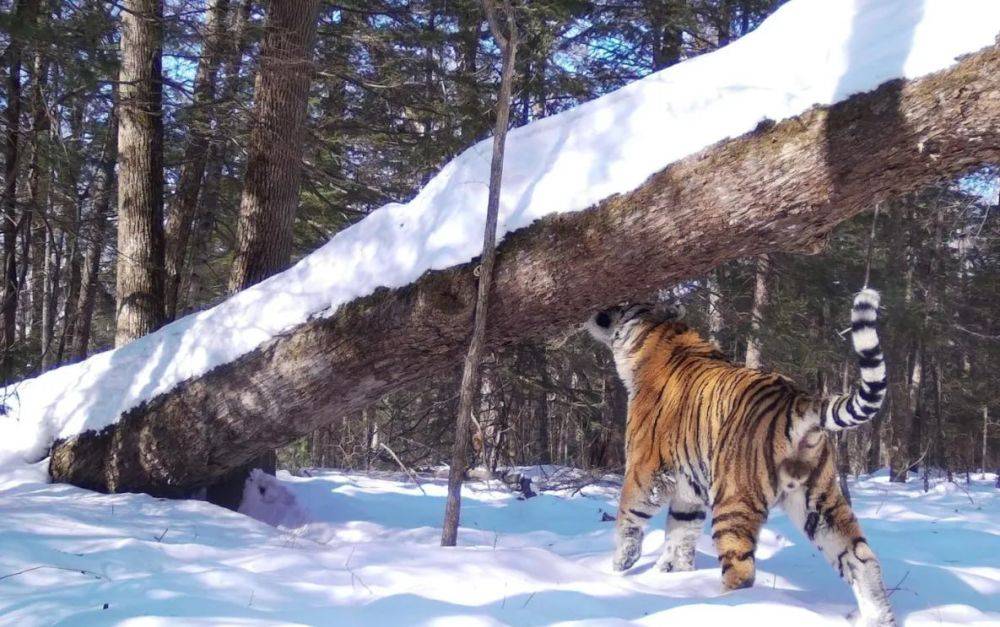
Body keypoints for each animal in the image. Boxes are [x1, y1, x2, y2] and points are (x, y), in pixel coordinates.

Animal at [584, 290, 896, 627]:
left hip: (733, 501)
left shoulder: (645, 470)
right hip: (820, 501)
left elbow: (628, 517)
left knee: (741, 571)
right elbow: (680, 533)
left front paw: (620, 567)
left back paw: (724, 607)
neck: (658, 339)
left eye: (624, 303)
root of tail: (797, 398)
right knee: (862, 559)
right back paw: (880, 618)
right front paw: (673, 574)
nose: (600, 306)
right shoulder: (688, 489)